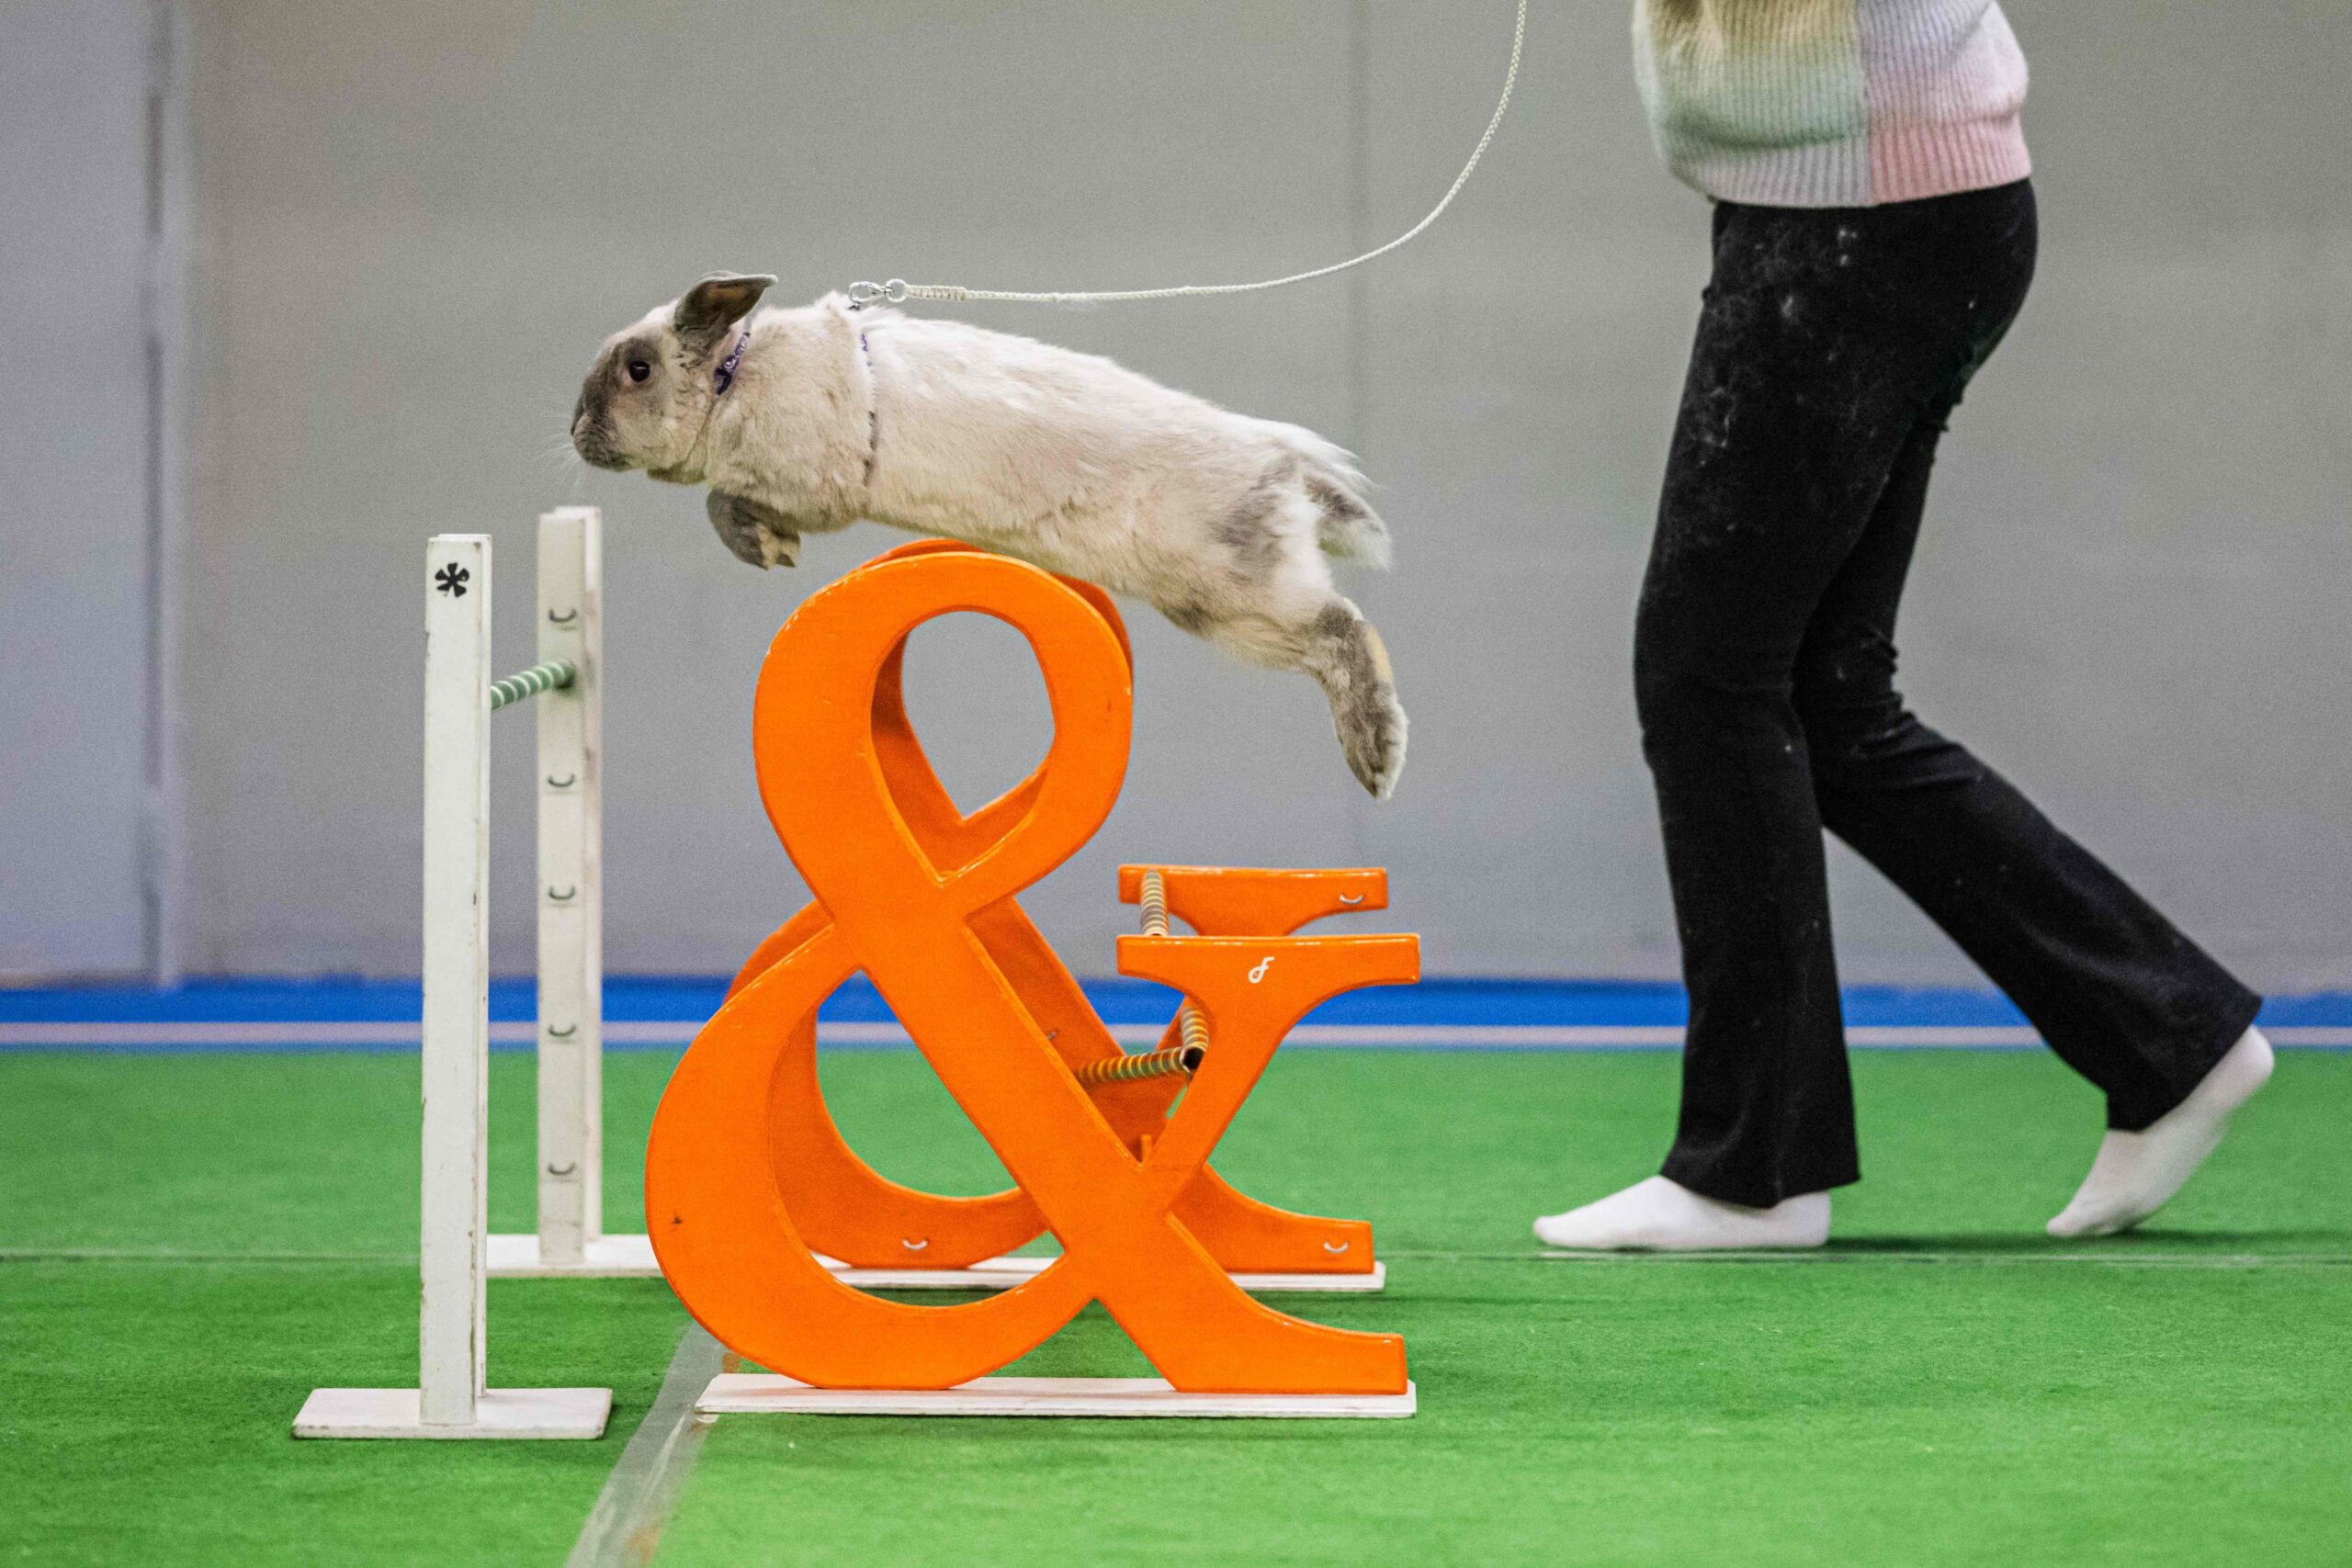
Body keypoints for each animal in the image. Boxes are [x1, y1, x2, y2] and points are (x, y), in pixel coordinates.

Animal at [570, 272, 1406, 798]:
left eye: (638, 369)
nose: (578, 432)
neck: (731, 377)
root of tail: (1285, 466)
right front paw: (774, 548)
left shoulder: (804, 485)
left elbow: (721, 502)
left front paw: (770, 550)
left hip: (1233, 593)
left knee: (1343, 627)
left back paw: (1379, 757)